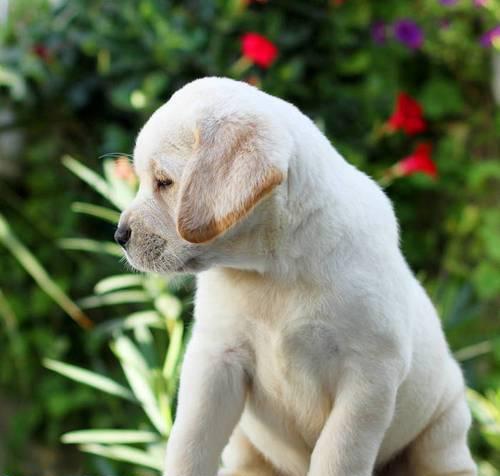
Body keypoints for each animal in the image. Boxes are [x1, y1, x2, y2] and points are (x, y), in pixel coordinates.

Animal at [116, 76, 476, 474]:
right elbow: (191, 441)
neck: (273, 269)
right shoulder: (216, 359)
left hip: (444, 428)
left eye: (164, 182)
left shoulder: (369, 375)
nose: (119, 236)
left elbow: (339, 453)